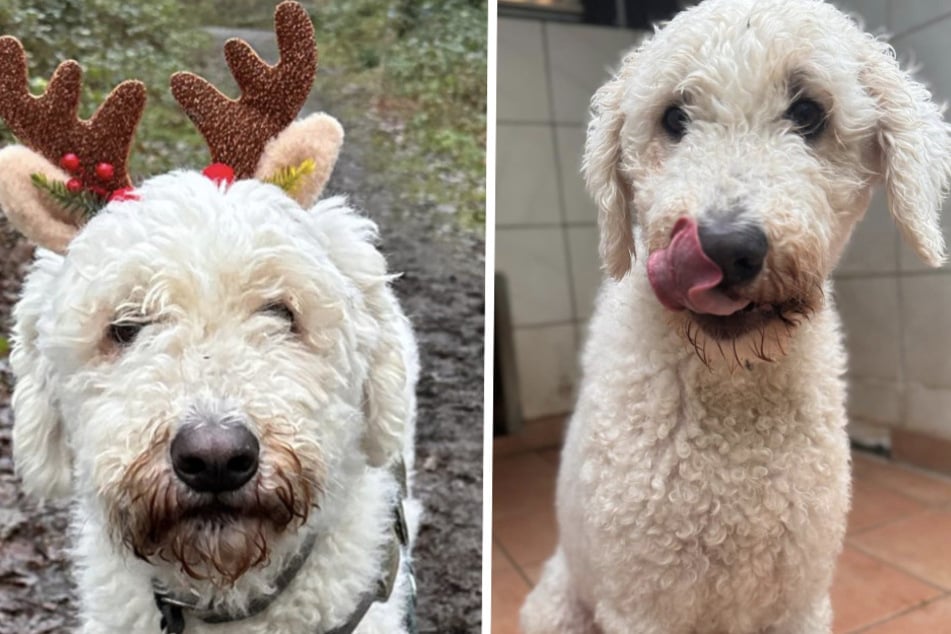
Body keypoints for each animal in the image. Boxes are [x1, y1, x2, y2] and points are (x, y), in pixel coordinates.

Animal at [520, 1, 951, 632]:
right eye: (674, 117)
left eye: (808, 111)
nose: (724, 248)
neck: (731, 386)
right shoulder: (642, 603)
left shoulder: (799, 601)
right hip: (558, 605)